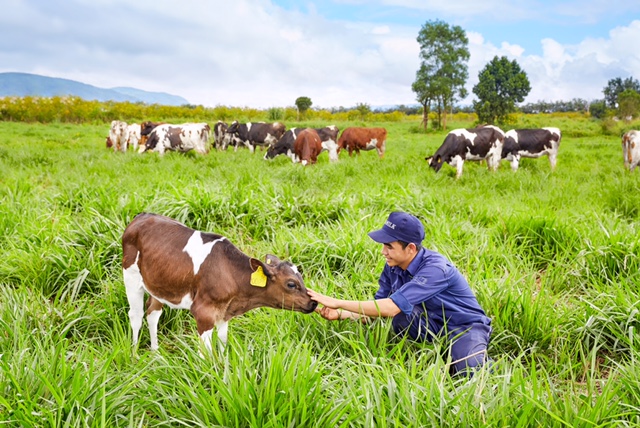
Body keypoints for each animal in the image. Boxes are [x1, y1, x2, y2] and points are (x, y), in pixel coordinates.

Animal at [120, 213, 318, 352]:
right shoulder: (203, 312)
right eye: (291, 284)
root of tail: (142, 215)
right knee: (136, 315)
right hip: (131, 276)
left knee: (153, 313)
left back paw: (155, 353)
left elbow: (223, 344)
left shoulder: (224, 312)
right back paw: (135, 354)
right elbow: (206, 353)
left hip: (158, 282)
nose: (314, 302)